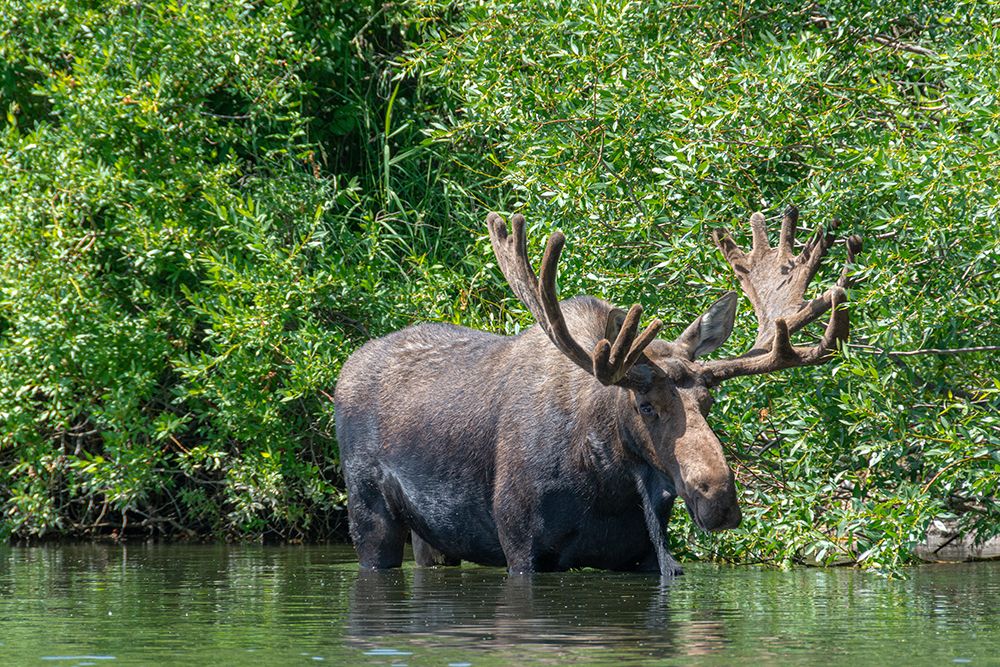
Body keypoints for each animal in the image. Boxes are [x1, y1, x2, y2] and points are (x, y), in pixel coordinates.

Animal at [334, 207, 862, 575]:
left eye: (708, 402)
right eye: (645, 406)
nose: (720, 500)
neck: (606, 478)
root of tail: (345, 369)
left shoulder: (642, 556)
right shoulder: (520, 545)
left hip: (432, 538)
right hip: (369, 515)